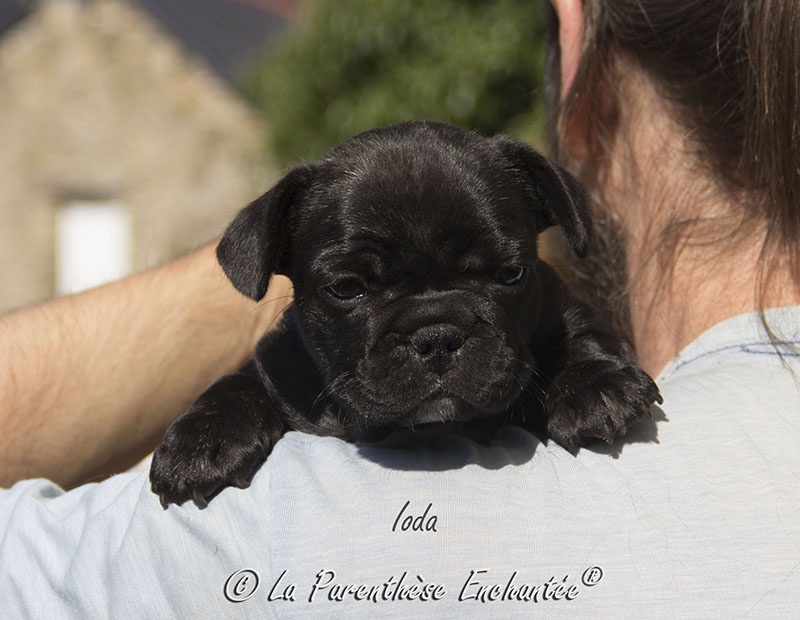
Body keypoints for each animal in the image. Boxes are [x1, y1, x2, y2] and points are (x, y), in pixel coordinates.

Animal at [150, 122, 661, 508]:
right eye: (347, 288)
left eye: (511, 274)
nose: (436, 335)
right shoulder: (279, 363)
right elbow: (237, 381)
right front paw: (201, 439)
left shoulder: (563, 309)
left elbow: (579, 337)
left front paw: (595, 385)